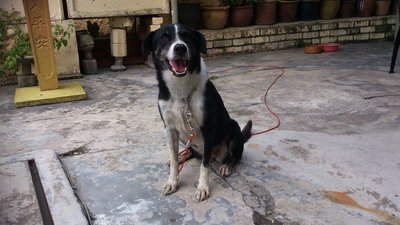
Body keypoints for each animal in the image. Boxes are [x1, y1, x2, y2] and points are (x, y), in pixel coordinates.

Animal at [142, 23, 252, 202]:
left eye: (187, 36)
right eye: (164, 37)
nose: (180, 47)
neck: (180, 91)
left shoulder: (208, 128)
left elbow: (205, 165)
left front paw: (202, 187)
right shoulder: (169, 128)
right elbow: (173, 160)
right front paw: (172, 181)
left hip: (234, 130)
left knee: (233, 157)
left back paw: (226, 166)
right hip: (183, 136)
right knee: (191, 152)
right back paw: (182, 156)